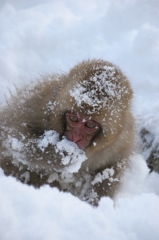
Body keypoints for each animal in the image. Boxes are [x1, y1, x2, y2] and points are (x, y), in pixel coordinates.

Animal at [0, 59, 134, 205]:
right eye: (73, 118)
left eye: (90, 124)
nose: (75, 137)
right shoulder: (41, 102)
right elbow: (12, 132)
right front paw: (61, 154)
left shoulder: (123, 139)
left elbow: (111, 169)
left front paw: (92, 203)